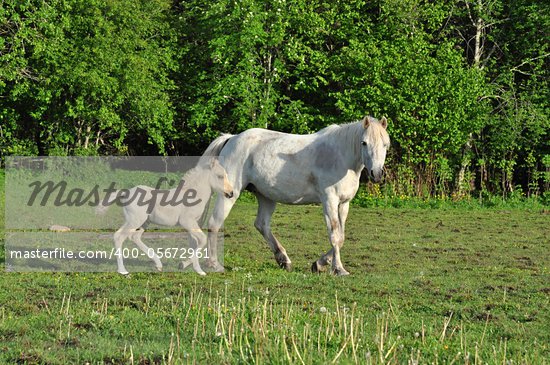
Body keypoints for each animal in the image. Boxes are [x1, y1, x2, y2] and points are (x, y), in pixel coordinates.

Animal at [97, 158, 235, 274]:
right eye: (220, 176)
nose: (231, 193)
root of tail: (127, 192)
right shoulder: (187, 221)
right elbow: (202, 239)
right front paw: (196, 269)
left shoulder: (193, 224)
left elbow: (196, 242)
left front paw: (189, 266)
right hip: (134, 220)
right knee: (119, 236)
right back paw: (122, 270)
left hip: (144, 222)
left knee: (134, 237)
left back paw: (158, 265)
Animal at [202, 115, 388, 274]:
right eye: (364, 143)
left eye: (386, 144)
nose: (377, 174)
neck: (341, 157)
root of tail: (231, 138)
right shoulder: (329, 201)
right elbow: (335, 235)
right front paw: (338, 269)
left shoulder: (343, 203)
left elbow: (341, 237)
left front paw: (319, 264)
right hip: (229, 194)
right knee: (214, 223)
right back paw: (214, 264)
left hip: (266, 196)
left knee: (262, 225)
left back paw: (284, 260)